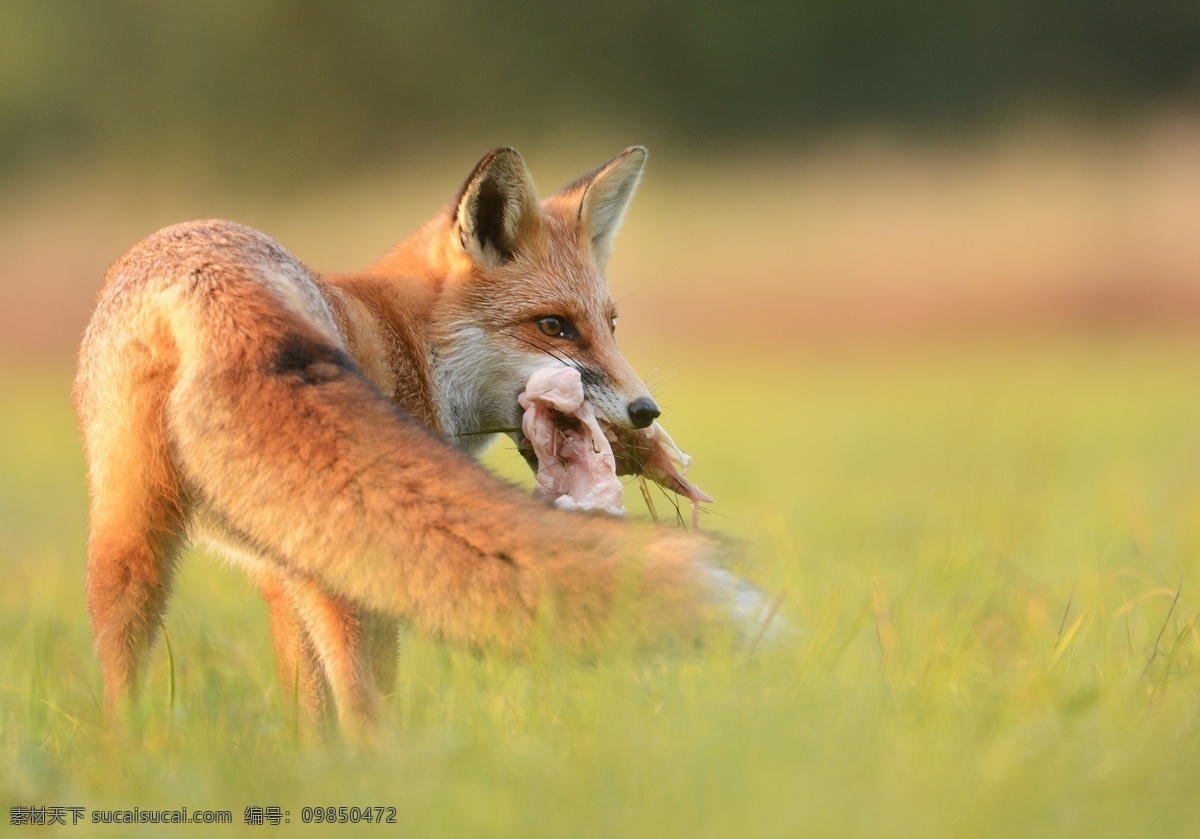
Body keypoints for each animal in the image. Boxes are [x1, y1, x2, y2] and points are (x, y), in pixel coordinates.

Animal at [75, 147, 763, 729]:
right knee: (365, 709)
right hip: (341, 567)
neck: (409, 339)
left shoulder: (278, 565)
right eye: (553, 327)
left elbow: (308, 715)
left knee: (121, 682)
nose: (645, 411)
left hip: (128, 545)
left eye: (610, 325)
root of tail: (209, 280)